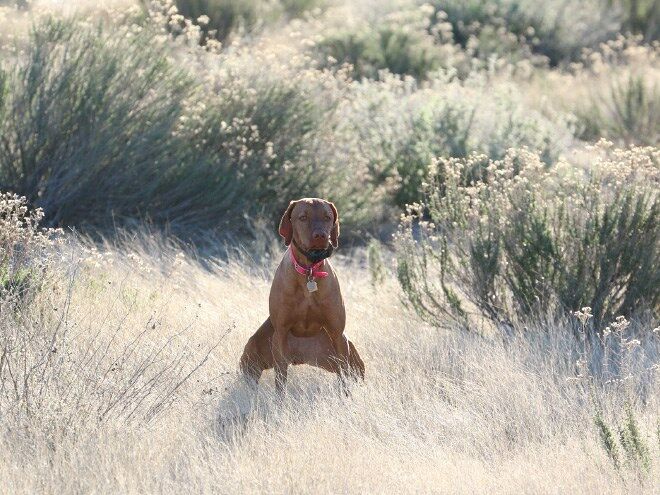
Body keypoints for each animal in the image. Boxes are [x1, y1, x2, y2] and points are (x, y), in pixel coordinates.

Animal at [241, 198, 366, 392]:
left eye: (327, 217)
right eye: (302, 217)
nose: (321, 236)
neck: (309, 271)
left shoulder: (337, 333)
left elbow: (344, 377)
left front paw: (346, 396)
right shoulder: (281, 333)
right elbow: (280, 383)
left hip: (348, 348)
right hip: (252, 350)